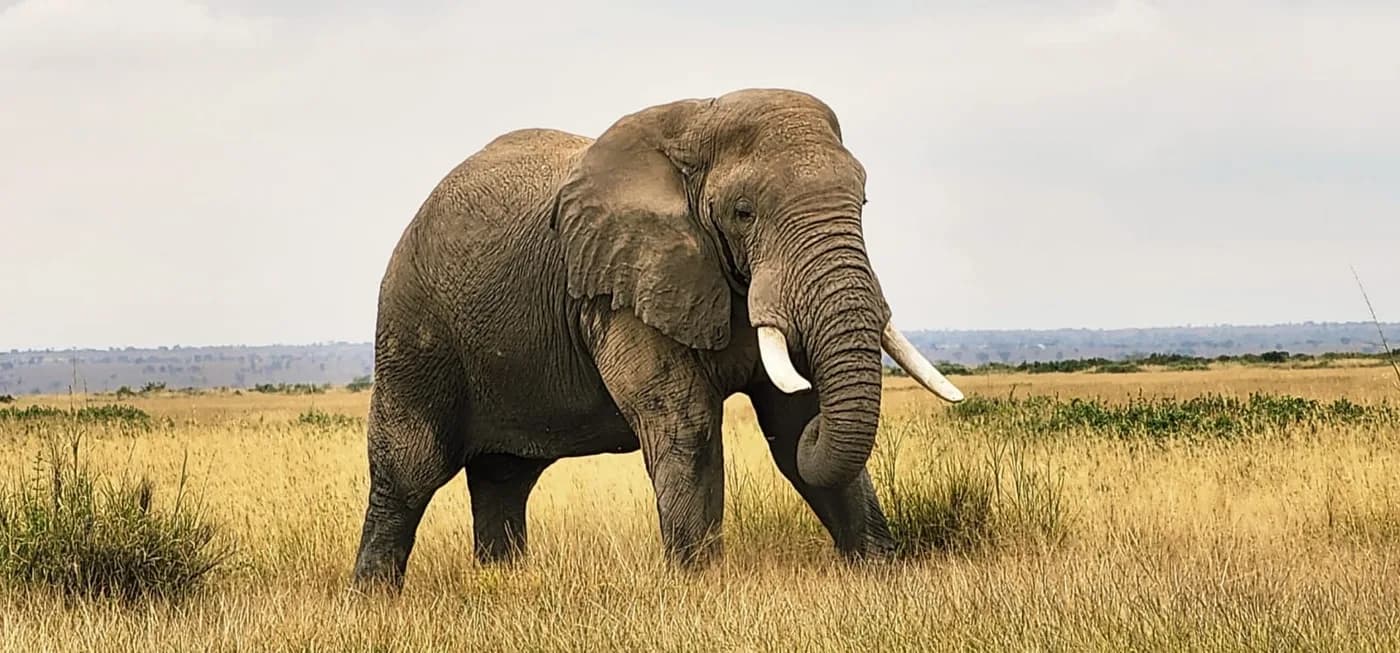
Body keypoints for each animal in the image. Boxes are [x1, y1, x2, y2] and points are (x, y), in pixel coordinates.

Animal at [350, 88, 965, 591]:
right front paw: (701, 589)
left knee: (504, 478)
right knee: (411, 469)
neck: (696, 125)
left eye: (862, 204)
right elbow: (686, 422)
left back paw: (501, 581)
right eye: (743, 212)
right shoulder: (619, 285)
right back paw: (374, 598)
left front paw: (879, 573)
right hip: (414, 324)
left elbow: (794, 425)